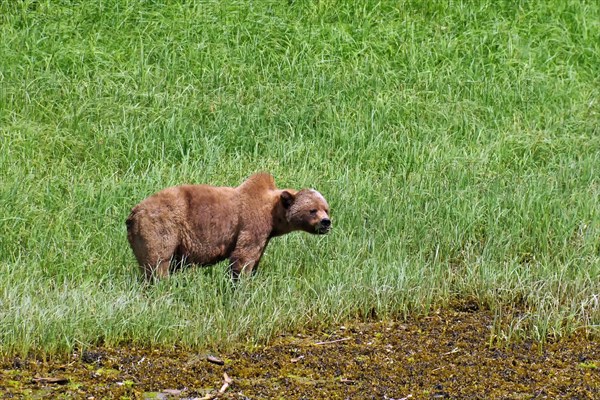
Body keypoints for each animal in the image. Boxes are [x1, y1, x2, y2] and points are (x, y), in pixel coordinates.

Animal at [126, 173, 330, 282]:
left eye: (326, 208)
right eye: (313, 210)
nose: (326, 222)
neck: (273, 216)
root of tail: (133, 213)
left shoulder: (265, 236)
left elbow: (255, 257)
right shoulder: (252, 224)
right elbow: (243, 257)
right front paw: (241, 283)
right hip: (162, 226)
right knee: (158, 262)